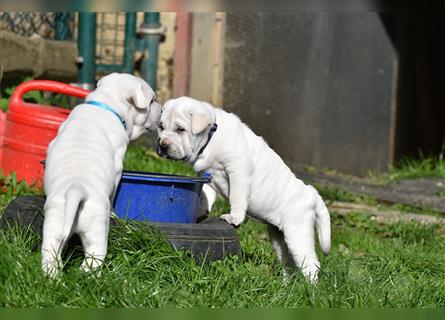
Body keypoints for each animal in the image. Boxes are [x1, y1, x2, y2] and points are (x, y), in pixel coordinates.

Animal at [156, 97, 330, 282]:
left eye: (180, 129)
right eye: (161, 127)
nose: (163, 145)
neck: (211, 137)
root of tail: (311, 193)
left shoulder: (238, 169)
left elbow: (237, 197)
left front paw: (234, 218)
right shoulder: (207, 175)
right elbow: (204, 196)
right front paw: (199, 213)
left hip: (297, 233)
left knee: (310, 264)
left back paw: (310, 288)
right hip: (279, 238)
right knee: (288, 263)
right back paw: (285, 286)